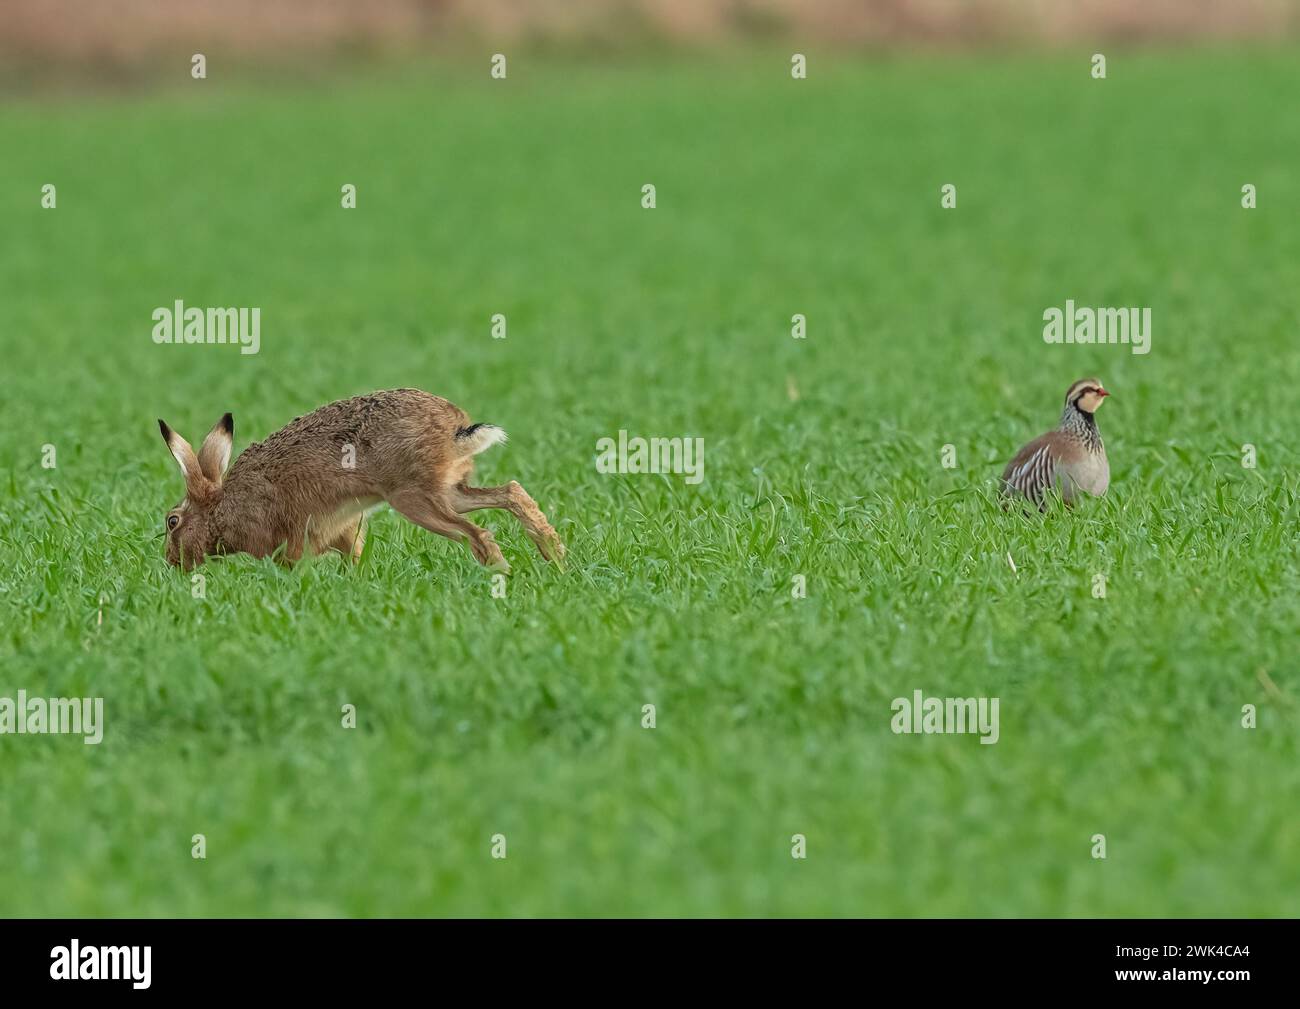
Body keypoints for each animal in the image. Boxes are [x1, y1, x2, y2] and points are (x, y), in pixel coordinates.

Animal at [158, 388, 564, 573]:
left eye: (172, 521)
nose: (171, 562)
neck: (221, 508)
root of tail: (454, 428)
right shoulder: (343, 531)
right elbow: (352, 558)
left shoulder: (285, 541)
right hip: (450, 490)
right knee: (511, 492)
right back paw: (554, 554)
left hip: (413, 498)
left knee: (476, 534)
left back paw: (501, 573)